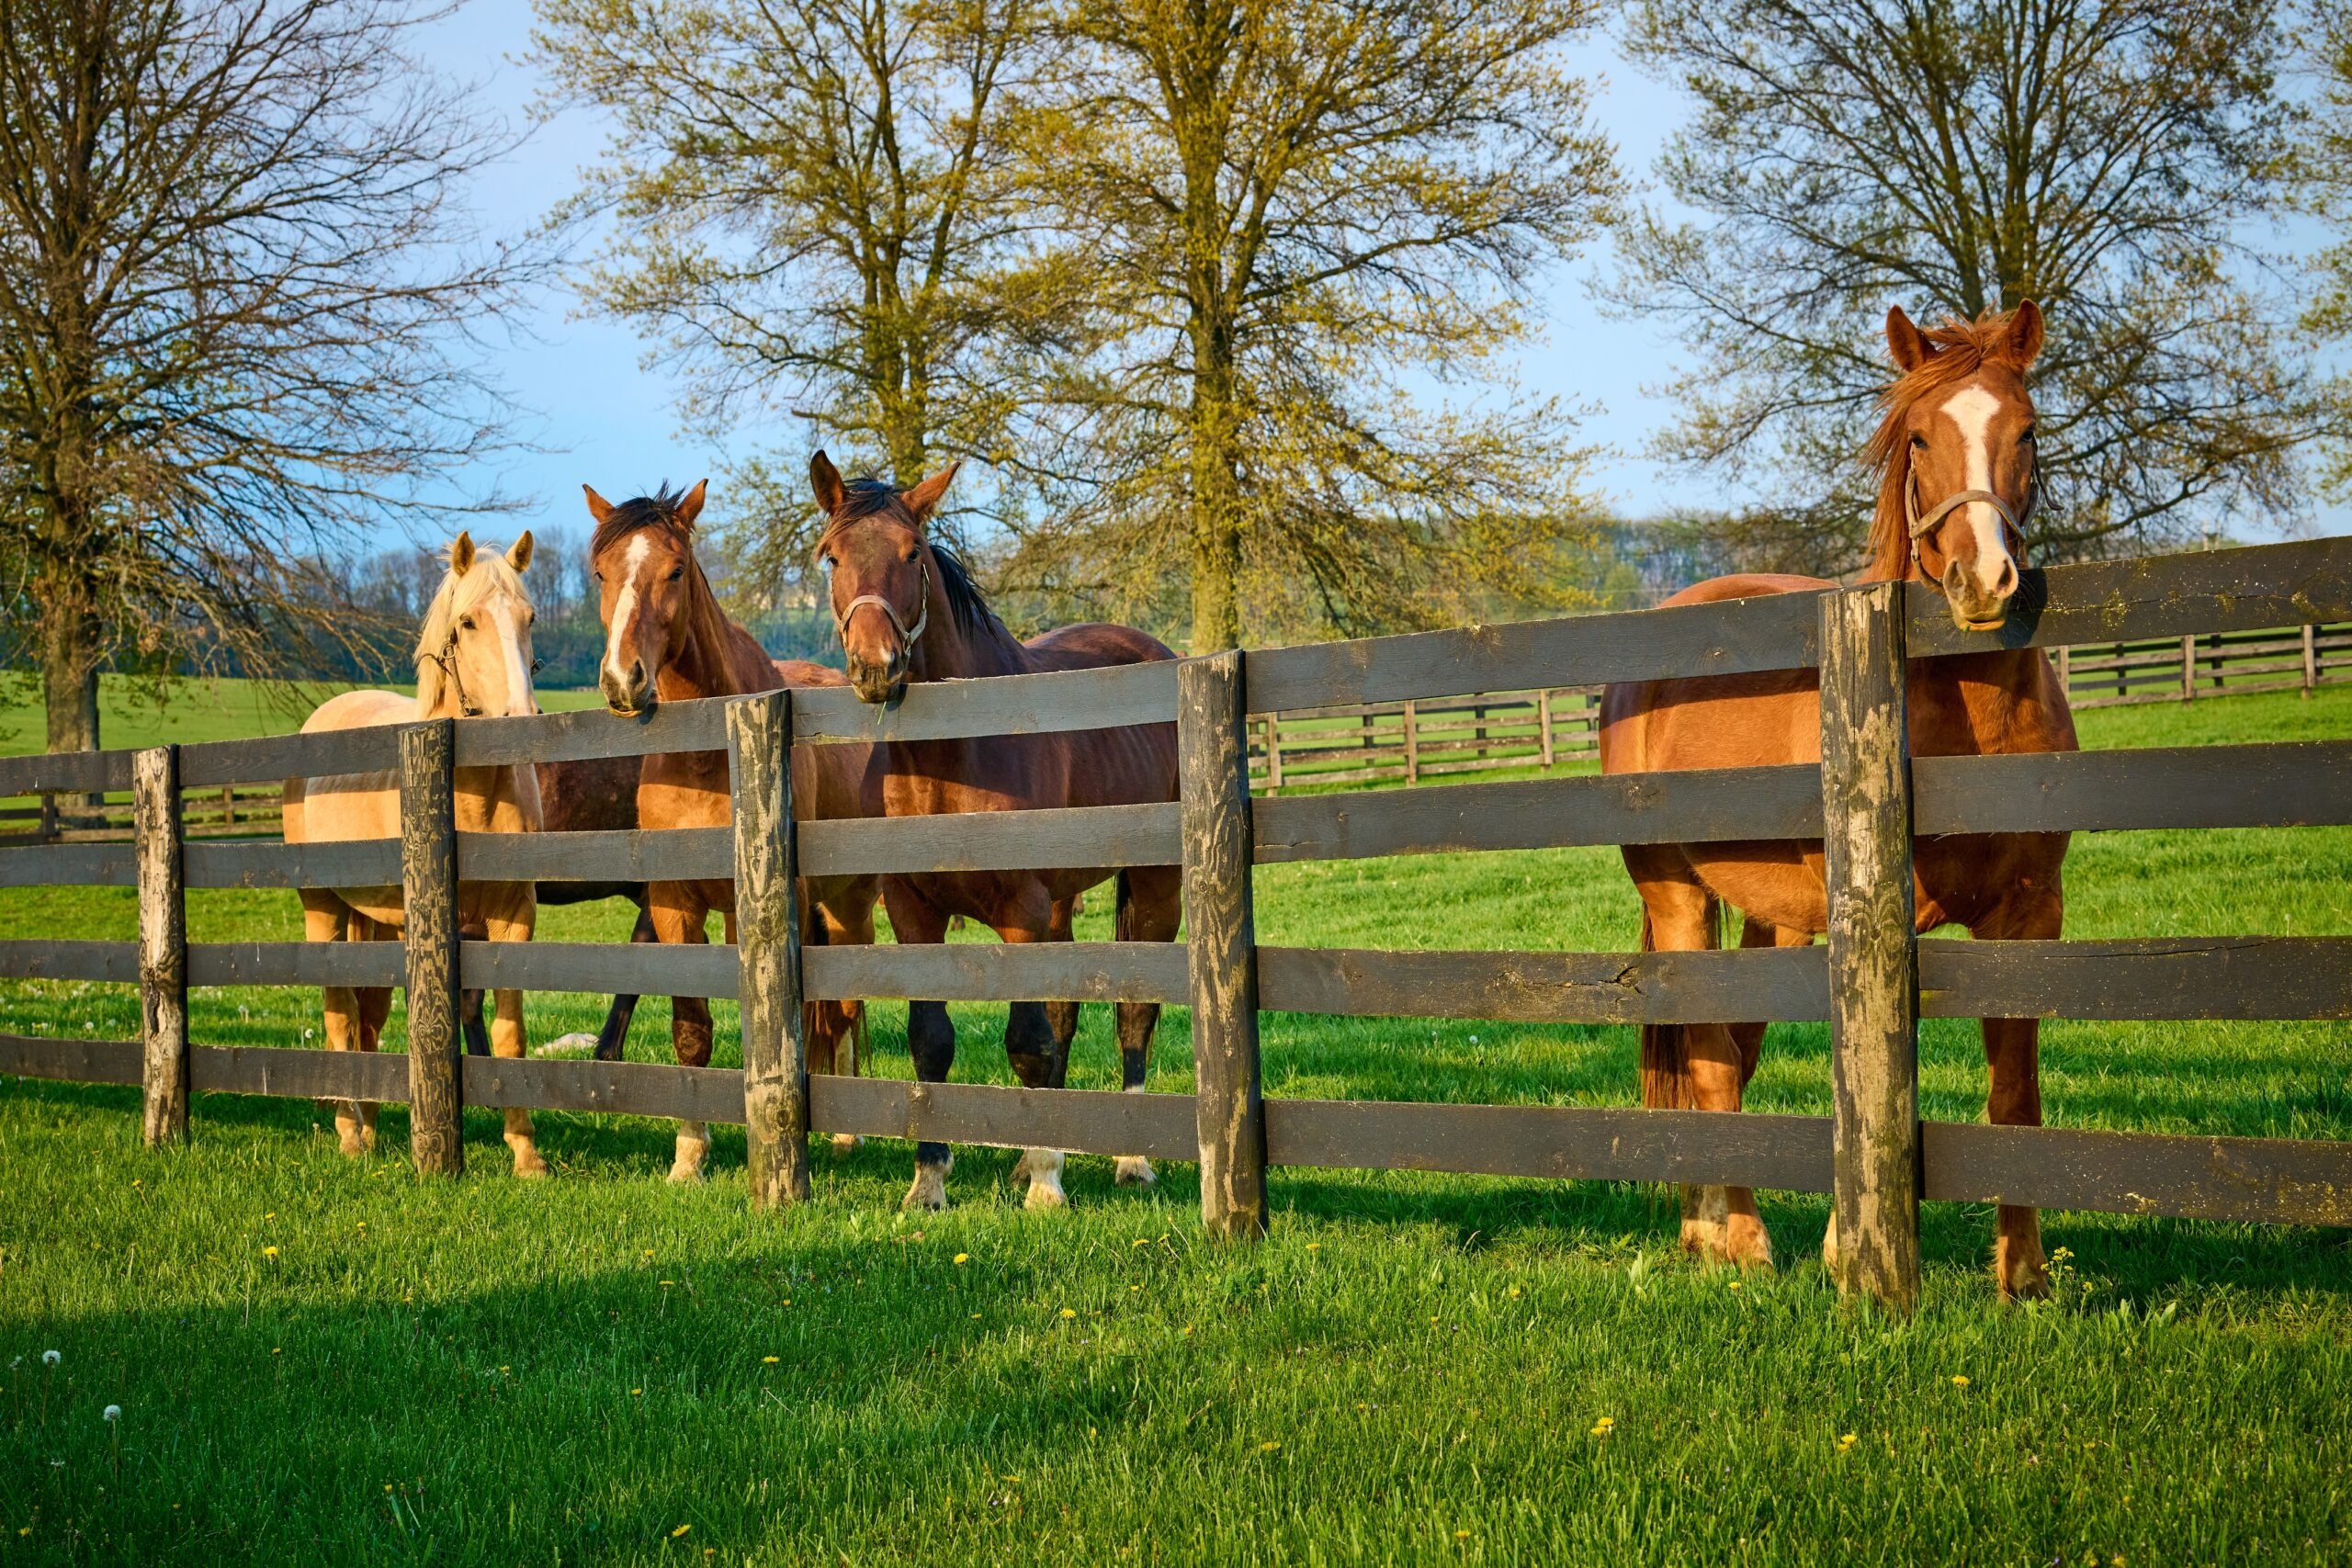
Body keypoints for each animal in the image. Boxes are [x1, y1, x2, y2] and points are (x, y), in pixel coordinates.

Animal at [282, 532, 552, 1175]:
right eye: (468, 622)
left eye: (529, 617)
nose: (523, 719)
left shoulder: (514, 918)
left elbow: (510, 1034)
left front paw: (525, 1154)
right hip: (323, 909)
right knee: (340, 1015)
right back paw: (350, 1135)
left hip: (374, 924)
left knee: (368, 1021)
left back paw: (372, 1127)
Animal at [585, 479, 883, 1182]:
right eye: (602, 572)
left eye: (675, 570)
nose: (622, 679)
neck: (708, 754)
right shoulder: (675, 906)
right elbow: (691, 1030)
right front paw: (689, 1156)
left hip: (849, 905)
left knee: (845, 1008)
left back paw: (847, 1134)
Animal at [809, 451, 1183, 1212]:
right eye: (831, 555)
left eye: (912, 552)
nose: (876, 666)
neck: (955, 754)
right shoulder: (914, 913)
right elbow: (932, 1038)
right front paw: (929, 1181)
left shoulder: (1021, 912)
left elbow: (1027, 1040)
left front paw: (1045, 1182)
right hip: (1065, 902)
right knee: (1068, 1011)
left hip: (1157, 886)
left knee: (1134, 1009)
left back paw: (1130, 1157)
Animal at [1597, 301, 2075, 1298]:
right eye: (1919, 436)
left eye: (2027, 430)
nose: (1982, 582)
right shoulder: (1866, 921)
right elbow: (1862, 1076)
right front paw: (1844, 1250)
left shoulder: (2029, 915)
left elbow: (2015, 1093)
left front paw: (2023, 1275)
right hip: (1678, 895)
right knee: (1710, 1061)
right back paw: (1743, 1243)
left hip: (1766, 916)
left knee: (1729, 1050)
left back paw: (1704, 1231)